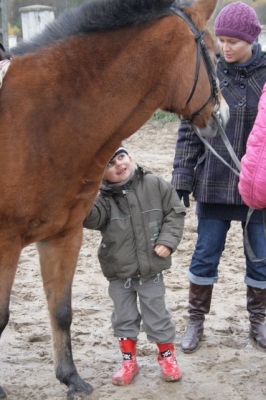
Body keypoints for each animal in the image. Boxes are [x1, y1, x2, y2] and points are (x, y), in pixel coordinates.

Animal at [0, 0, 227, 398]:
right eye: (215, 55)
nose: (224, 114)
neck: (37, 123)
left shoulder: (62, 235)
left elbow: (62, 310)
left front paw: (71, 379)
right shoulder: (5, 242)